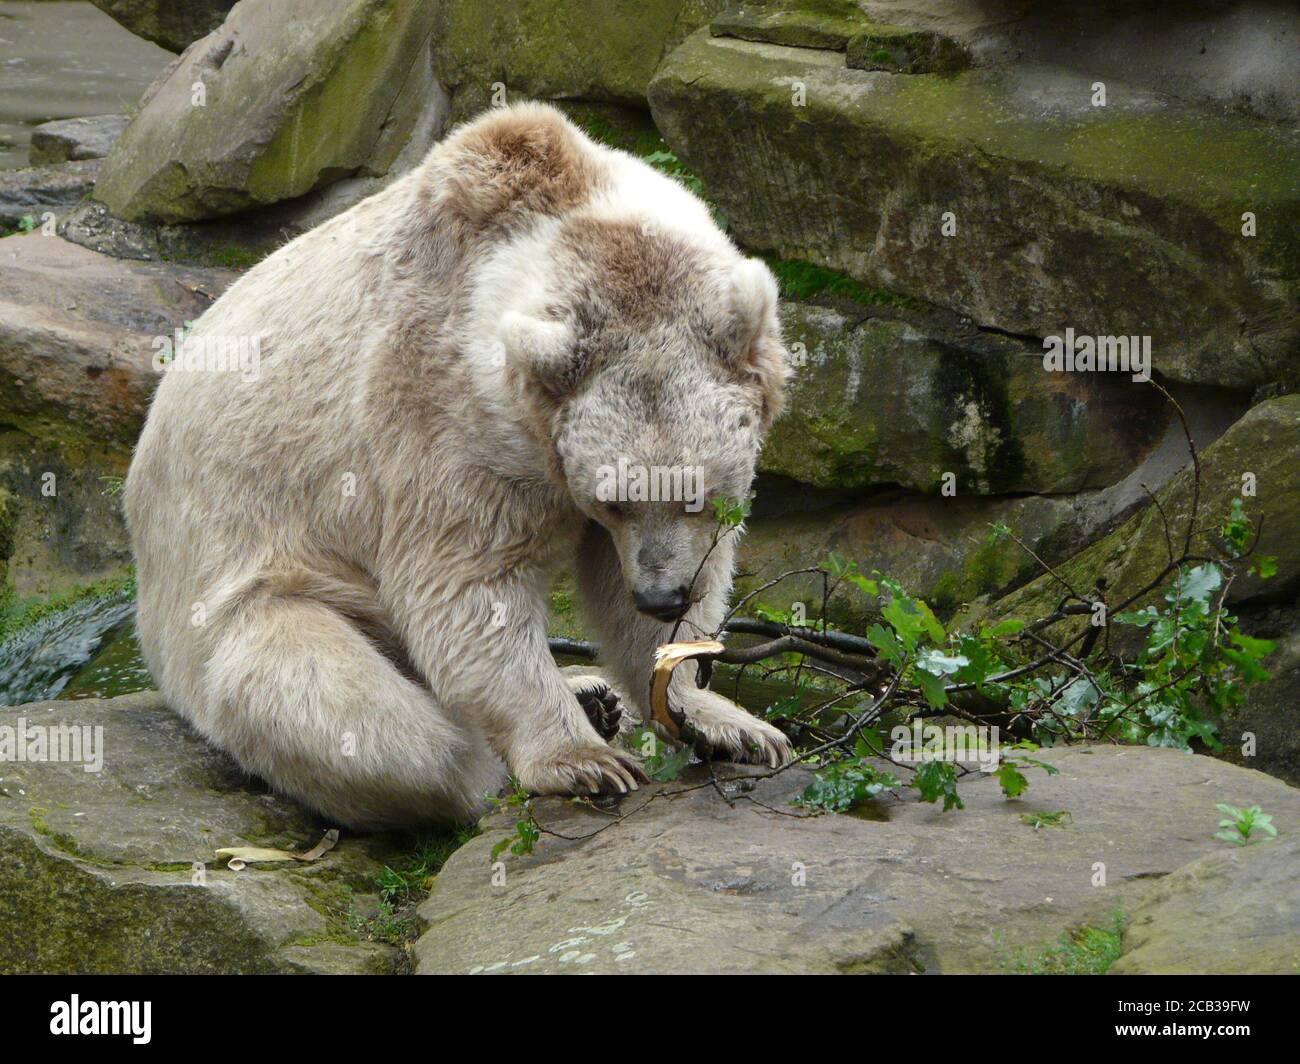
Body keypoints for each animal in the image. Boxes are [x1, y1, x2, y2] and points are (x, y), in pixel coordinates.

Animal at [125, 102, 793, 830]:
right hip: (243, 589)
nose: (661, 596)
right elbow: (467, 586)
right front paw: (585, 761)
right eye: (612, 499)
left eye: (697, 496)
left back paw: (591, 691)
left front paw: (723, 719)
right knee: (352, 713)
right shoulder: (441, 409)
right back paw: (492, 757)